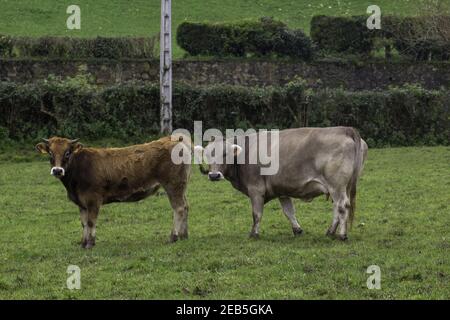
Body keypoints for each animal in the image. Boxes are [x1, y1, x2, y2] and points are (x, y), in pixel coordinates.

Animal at [35, 135, 190, 248]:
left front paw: (90, 243)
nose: (57, 170)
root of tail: (174, 138)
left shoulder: (93, 200)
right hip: (181, 186)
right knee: (186, 207)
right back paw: (184, 235)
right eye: (50, 153)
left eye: (67, 153)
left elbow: (91, 222)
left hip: (173, 184)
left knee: (178, 208)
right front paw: (83, 243)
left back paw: (173, 237)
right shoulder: (81, 203)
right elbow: (84, 223)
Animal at [195, 127, 368, 240]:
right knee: (337, 209)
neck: (246, 152)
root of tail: (345, 129)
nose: (214, 175)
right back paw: (330, 232)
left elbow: (256, 214)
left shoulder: (255, 190)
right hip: (338, 188)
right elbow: (289, 212)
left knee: (342, 206)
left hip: (337, 186)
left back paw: (342, 235)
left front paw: (254, 234)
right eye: (207, 155)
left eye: (225, 154)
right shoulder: (282, 190)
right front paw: (297, 230)